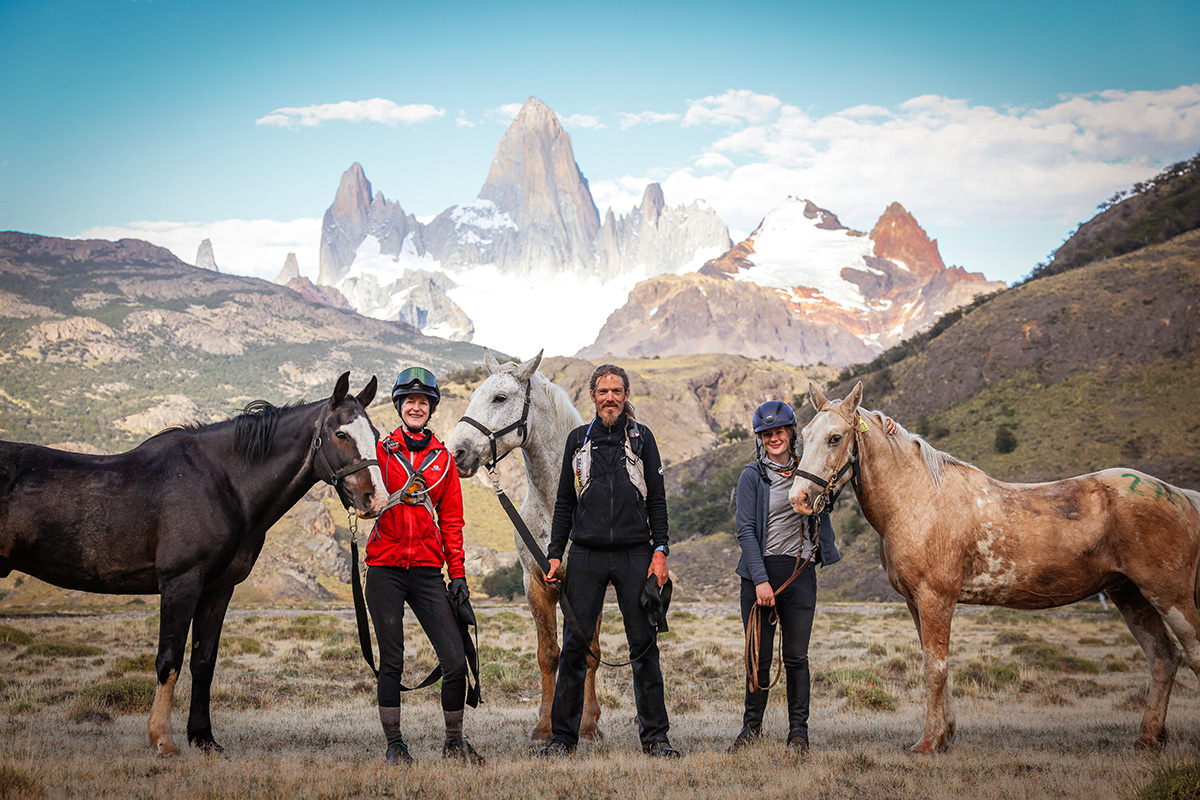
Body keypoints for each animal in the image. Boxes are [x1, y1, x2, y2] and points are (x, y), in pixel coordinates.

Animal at [0, 371, 384, 753]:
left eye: (378, 435)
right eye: (340, 434)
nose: (375, 500)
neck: (221, 482)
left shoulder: (218, 589)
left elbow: (203, 662)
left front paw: (203, 737)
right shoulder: (180, 583)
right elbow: (168, 660)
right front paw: (163, 740)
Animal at [446, 350, 604, 743]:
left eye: (500, 398)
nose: (457, 453)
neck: (556, 505)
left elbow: (589, 651)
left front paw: (588, 724)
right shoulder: (535, 582)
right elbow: (548, 653)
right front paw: (545, 727)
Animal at [787, 383, 1200, 753]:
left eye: (835, 437)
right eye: (803, 436)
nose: (799, 498)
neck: (918, 497)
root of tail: (1179, 496)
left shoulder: (936, 599)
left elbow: (935, 669)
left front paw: (928, 743)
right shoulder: (916, 603)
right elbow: (935, 665)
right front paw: (945, 735)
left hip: (1170, 597)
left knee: (1190, 653)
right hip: (1130, 595)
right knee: (1163, 659)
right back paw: (1148, 738)